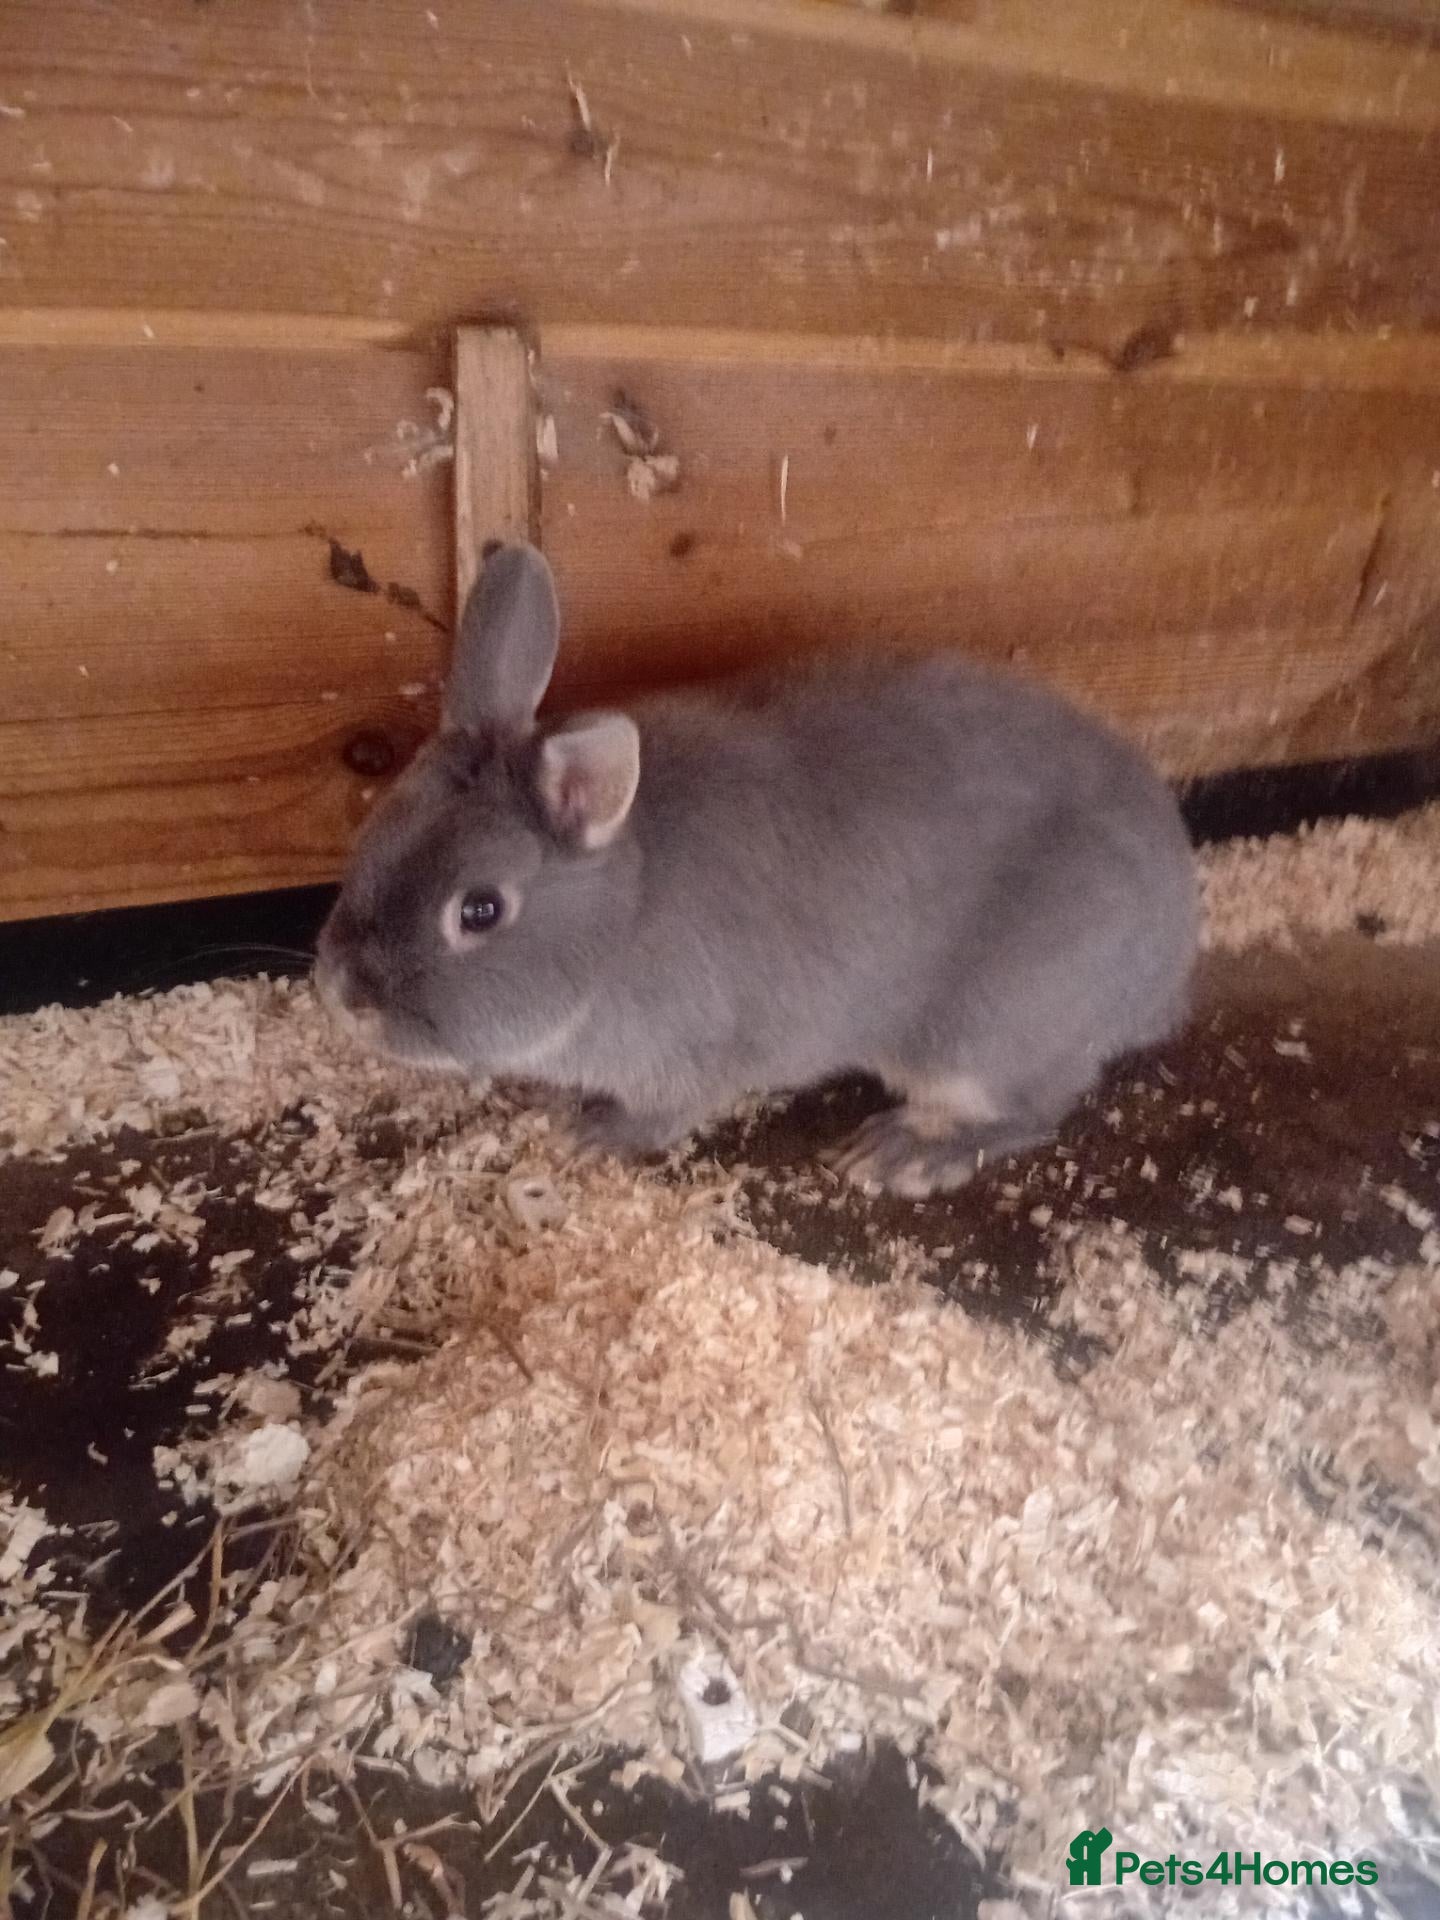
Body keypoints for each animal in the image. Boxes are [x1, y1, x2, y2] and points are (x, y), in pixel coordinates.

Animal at [316, 541, 1198, 1197]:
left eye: (479, 911)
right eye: (373, 831)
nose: (346, 998)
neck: (624, 911)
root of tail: (1166, 973)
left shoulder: (692, 1057)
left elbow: (663, 1115)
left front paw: (589, 1130)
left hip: (982, 1035)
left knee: (1032, 1112)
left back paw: (903, 1154)